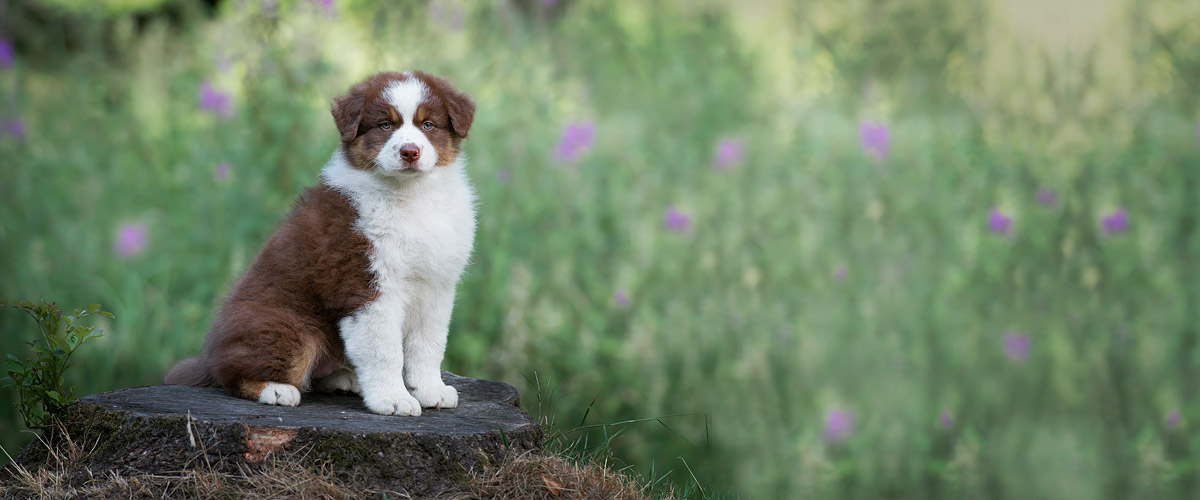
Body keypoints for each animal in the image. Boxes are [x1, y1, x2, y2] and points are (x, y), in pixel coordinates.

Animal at [163, 68, 477, 414]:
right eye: (385, 125)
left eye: (428, 125)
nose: (410, 152)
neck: (410, 196)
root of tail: (207, 358)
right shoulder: (365, 284)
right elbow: (385, 350)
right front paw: (393, 399)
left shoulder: (436, 286)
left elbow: (429, 344)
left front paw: (431, 391)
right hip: (288, 326)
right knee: (233, 372)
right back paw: (275, 389)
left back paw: (342, 378)